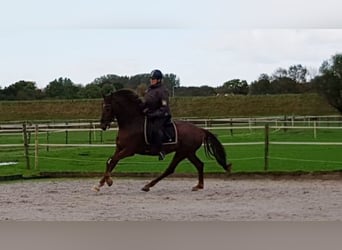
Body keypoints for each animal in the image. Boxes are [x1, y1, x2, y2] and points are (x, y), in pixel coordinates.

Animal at [93, 89, 231, 192]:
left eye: (107, 108)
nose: (102, 125)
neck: (131, 123)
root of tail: (200, 129)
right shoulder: (119, 148)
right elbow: (110, 162)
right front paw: (99, 184)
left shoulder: (129, 150)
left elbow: (113, 160)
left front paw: (108, 181)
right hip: (189, 153)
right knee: (199, 164)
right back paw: (199, 186)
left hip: (182, 152)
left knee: (170, 169)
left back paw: (148, 185)